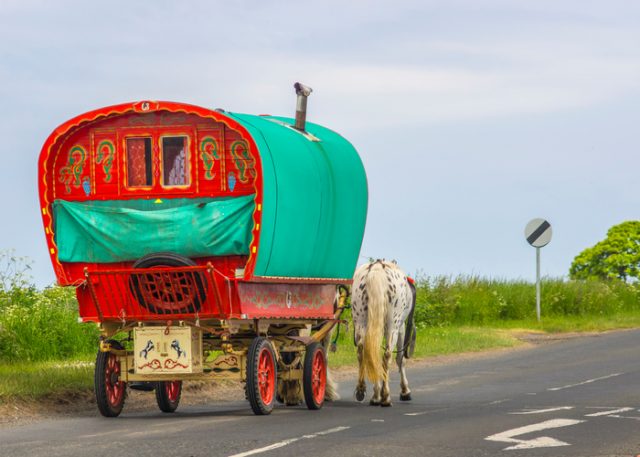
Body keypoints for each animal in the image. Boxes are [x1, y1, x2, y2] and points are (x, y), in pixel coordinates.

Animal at [350, 258, 416, 404]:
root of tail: (377, 268)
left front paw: (376, 394)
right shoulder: (401, 328)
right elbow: (400, 359)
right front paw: (405, 391)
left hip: (361, 322)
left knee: (364, 352)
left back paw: (364, 391)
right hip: (393, 326)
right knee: (387, 355)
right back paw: (385, 396)